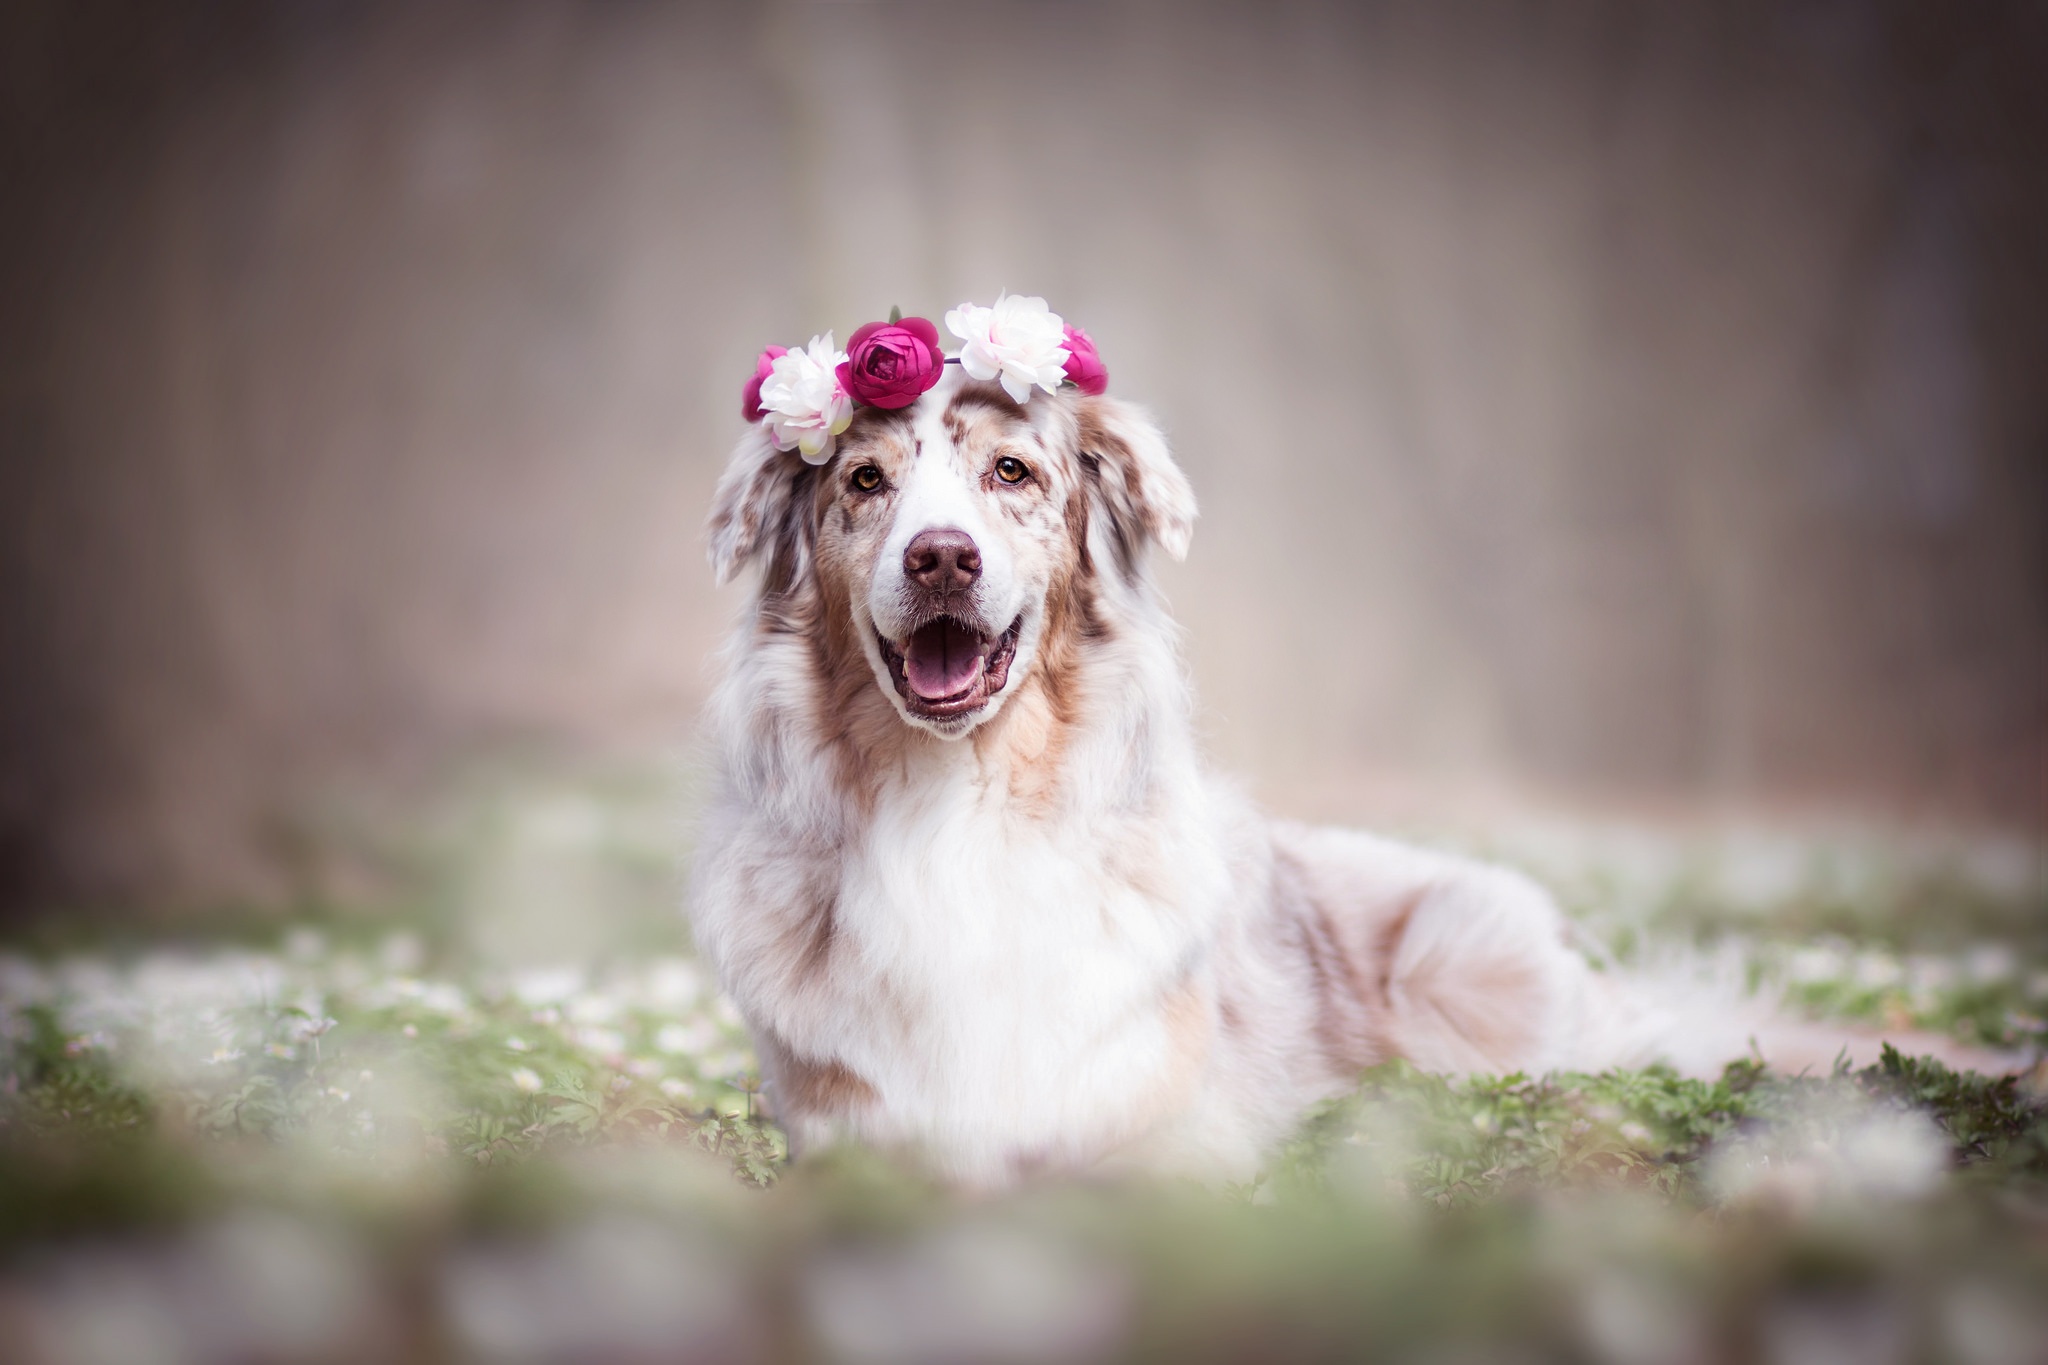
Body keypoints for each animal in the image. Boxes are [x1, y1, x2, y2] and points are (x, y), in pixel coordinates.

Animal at [688, 368, 1982, 1186]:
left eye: (1011, 472)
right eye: (864, 483)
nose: (941, 557)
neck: (955, 800)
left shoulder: (1169, 1131)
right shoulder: (850, 1131)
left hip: (1473, 972)